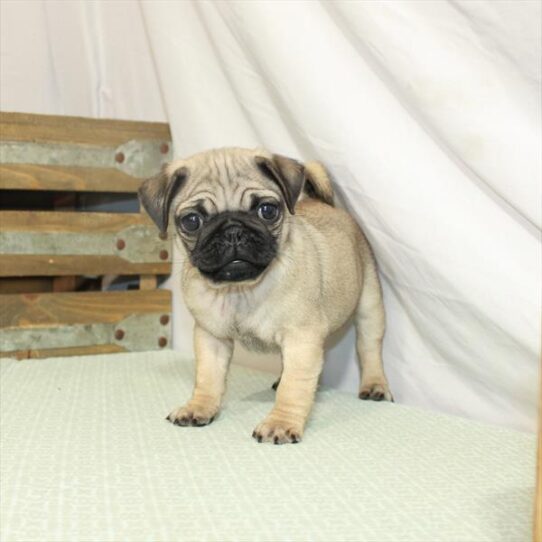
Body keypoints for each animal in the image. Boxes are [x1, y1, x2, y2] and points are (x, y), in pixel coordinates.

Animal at [139, 147, 396, 444]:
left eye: (267, 210)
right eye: (192, 221)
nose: (233, 230)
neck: (240, 290)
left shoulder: (301, 339)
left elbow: (294, 387)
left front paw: (280, 423)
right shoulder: (211, 337)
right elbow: (207, 377)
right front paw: (199, 407)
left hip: (369, 304)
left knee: (369, 347)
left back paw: (375, 385)